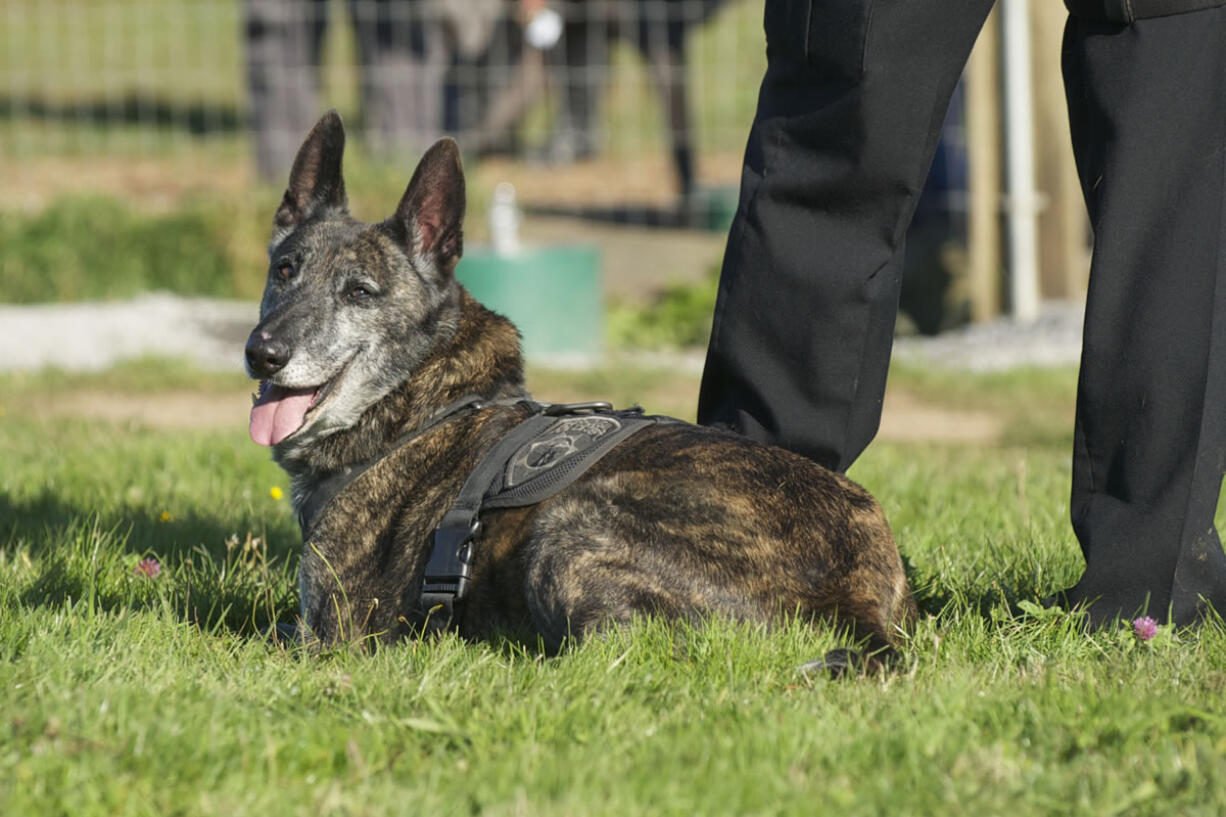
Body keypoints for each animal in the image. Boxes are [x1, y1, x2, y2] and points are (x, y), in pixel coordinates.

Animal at [246, 109, 921, 667]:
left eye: (359, 291)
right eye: (284, 270)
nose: (261, 353)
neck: (421, 403)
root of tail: (855, 588)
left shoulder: (331, 635)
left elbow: (267, 633)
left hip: (569, 523)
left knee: (613, 654)